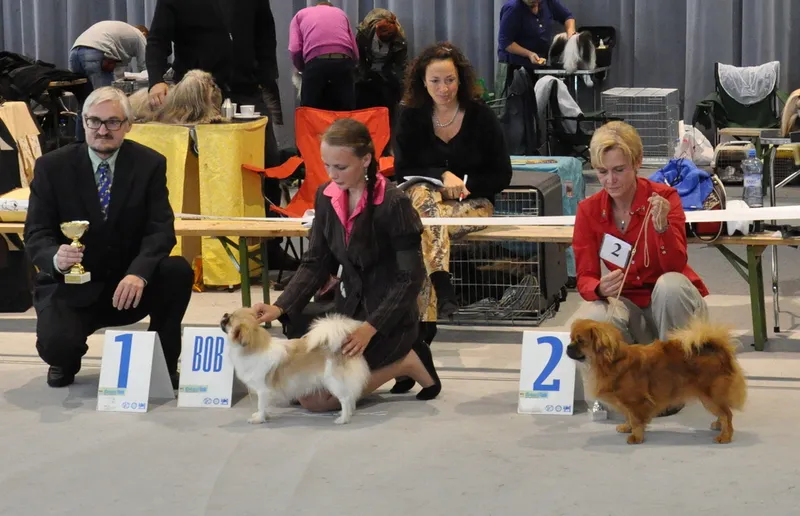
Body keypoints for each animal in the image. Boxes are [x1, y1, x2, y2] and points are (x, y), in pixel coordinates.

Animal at [220, 308, 371, 425]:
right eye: (228, 316)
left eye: (229, 320)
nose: (224, 314)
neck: (252, 348)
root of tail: (340, 346)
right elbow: (265, 406)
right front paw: (263, 416)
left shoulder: (263, 390)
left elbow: (261, 405)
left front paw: (259, 419)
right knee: (350, 397)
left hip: (333, 382)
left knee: (345, 399)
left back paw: (343, 419)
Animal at [566, 317, 747, 444]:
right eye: (571, 339)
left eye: (580, 341)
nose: (568, 347)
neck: (611, 363)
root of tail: (720, 351)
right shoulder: (628, 404)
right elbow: (628, 417)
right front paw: (626, 427)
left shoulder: (636, 402)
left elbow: (636, 420)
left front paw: (636, 437)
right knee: (723, 413)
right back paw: (718, 426)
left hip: (710, 397)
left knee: (727, 414)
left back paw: (725, 436)